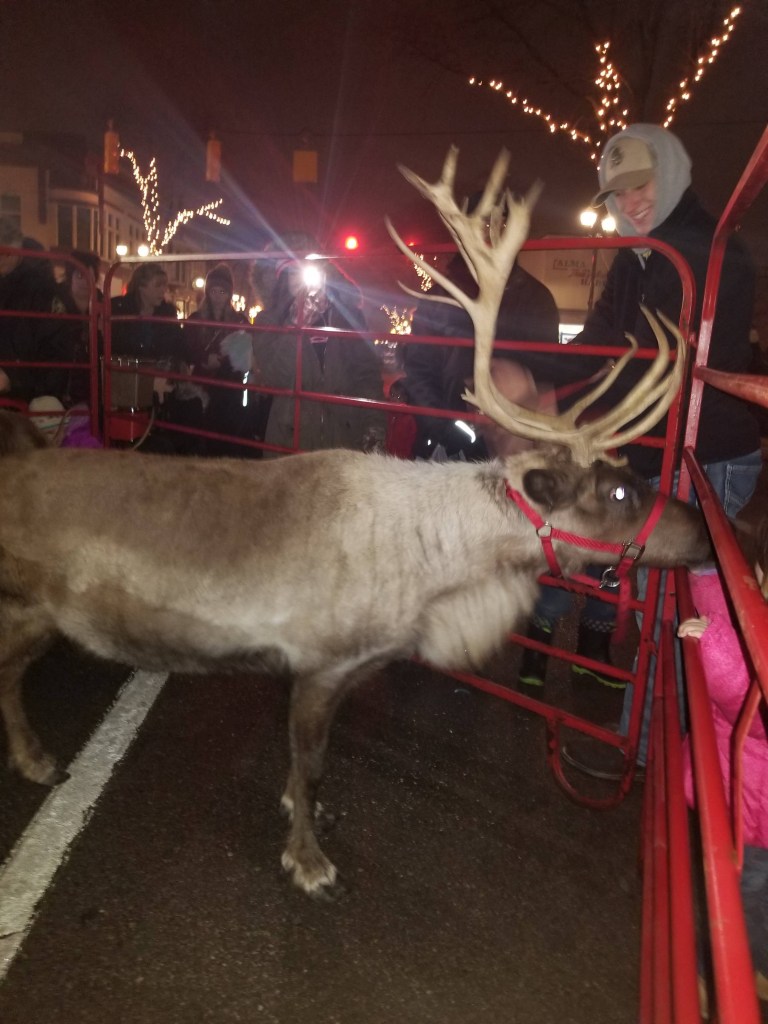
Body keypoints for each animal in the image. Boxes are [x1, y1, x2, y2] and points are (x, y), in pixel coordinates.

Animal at [0, 147, 710, 899]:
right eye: (620, 493)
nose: (703, 537)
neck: (437, 567)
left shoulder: (347, 669)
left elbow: (310, 765)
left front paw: (302, 813)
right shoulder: (319, 663)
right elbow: (311, 763)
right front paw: (308, 860)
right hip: (28, 606)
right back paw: (36, 758)